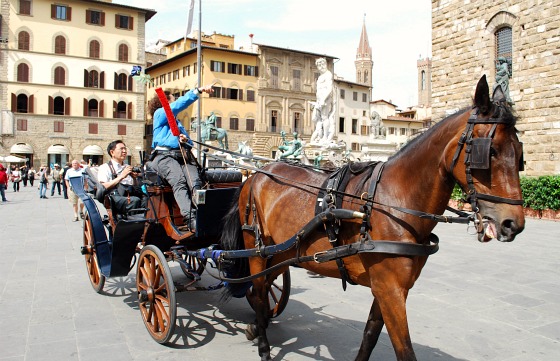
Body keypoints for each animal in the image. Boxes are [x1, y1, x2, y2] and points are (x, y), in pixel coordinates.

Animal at [219, 76, 524, 360]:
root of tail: (254, 175)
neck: (394, 202)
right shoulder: (390, 289)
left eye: (520, 155)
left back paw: (256, 328)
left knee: (264, 286)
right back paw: (263, 345)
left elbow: (370, 335)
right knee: (259, 291)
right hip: (257, 249)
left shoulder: (391, 289)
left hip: (283, 250)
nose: (513, 224)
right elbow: (404, 350)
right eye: (490, 151)